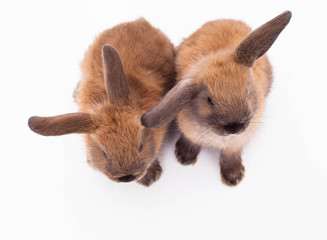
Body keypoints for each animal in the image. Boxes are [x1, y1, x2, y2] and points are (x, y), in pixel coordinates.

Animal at [142, 10, 294, 186]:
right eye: (210, 101)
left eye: (248, 94)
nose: (234, 128)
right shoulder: (190, 134)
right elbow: (190, 141)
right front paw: (184, 158)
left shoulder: (236, 145)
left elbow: (230, 156)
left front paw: (234, 177)